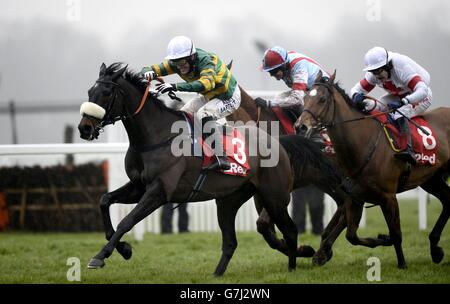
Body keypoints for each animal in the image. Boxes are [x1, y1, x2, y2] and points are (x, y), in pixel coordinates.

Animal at [77, 63, 318, 276]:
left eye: (107, 93)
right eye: (89, 91)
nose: (84, 128)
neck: (156, 136)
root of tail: (279, 143)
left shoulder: (159, 192)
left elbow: (127, 221)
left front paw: (101, 256)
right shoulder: (139, 187)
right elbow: (105, 201)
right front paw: (124, 249)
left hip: (274, 197)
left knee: (290, 230)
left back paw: (294, 266)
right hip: (230, 200)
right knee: (232, 241)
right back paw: (218, 274)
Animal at [296, 70, 450, 268]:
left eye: (322, 99)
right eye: (305, 97)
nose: (300, 126)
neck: (363, 144)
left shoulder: (388, 197)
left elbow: (396, 234)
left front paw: (402, 263)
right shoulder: (354, 197)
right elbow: (351, 236)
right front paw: (382, 239)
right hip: (431, 179)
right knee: (448, 200)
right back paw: (435, 248)